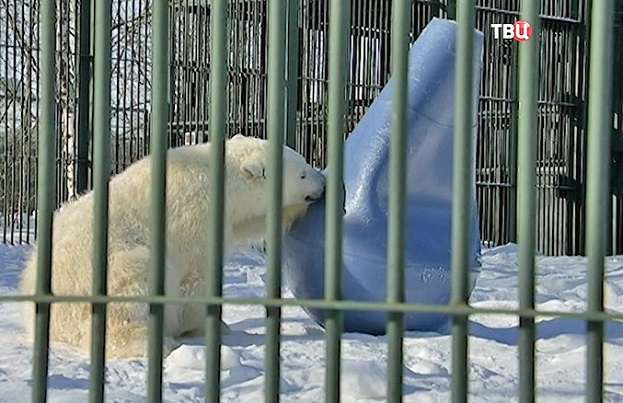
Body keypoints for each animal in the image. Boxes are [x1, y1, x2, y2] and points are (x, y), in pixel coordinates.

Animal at [18, 134, 326, 358]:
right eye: (302, 173)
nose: (323, 182)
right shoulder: (195, 220)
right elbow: (194, 278)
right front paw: (206, 325)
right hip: (106, 270)